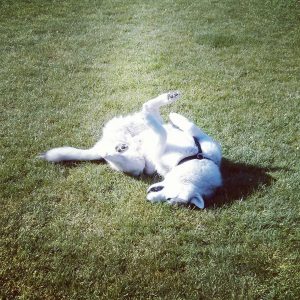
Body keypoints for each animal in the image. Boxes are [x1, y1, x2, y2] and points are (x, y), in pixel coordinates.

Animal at [41, 92, 221, 207]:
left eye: (169, 201)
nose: (149, 199)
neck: (194, 159)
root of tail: (101, 145)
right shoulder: (205, 141)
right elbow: (189, 126)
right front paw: (175, 116)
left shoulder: (157, 157)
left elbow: (163, 135)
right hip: (132, 124)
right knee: (149, 108)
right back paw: (168, 98)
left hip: (137, 163)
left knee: (112, 154)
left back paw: (117, 148)